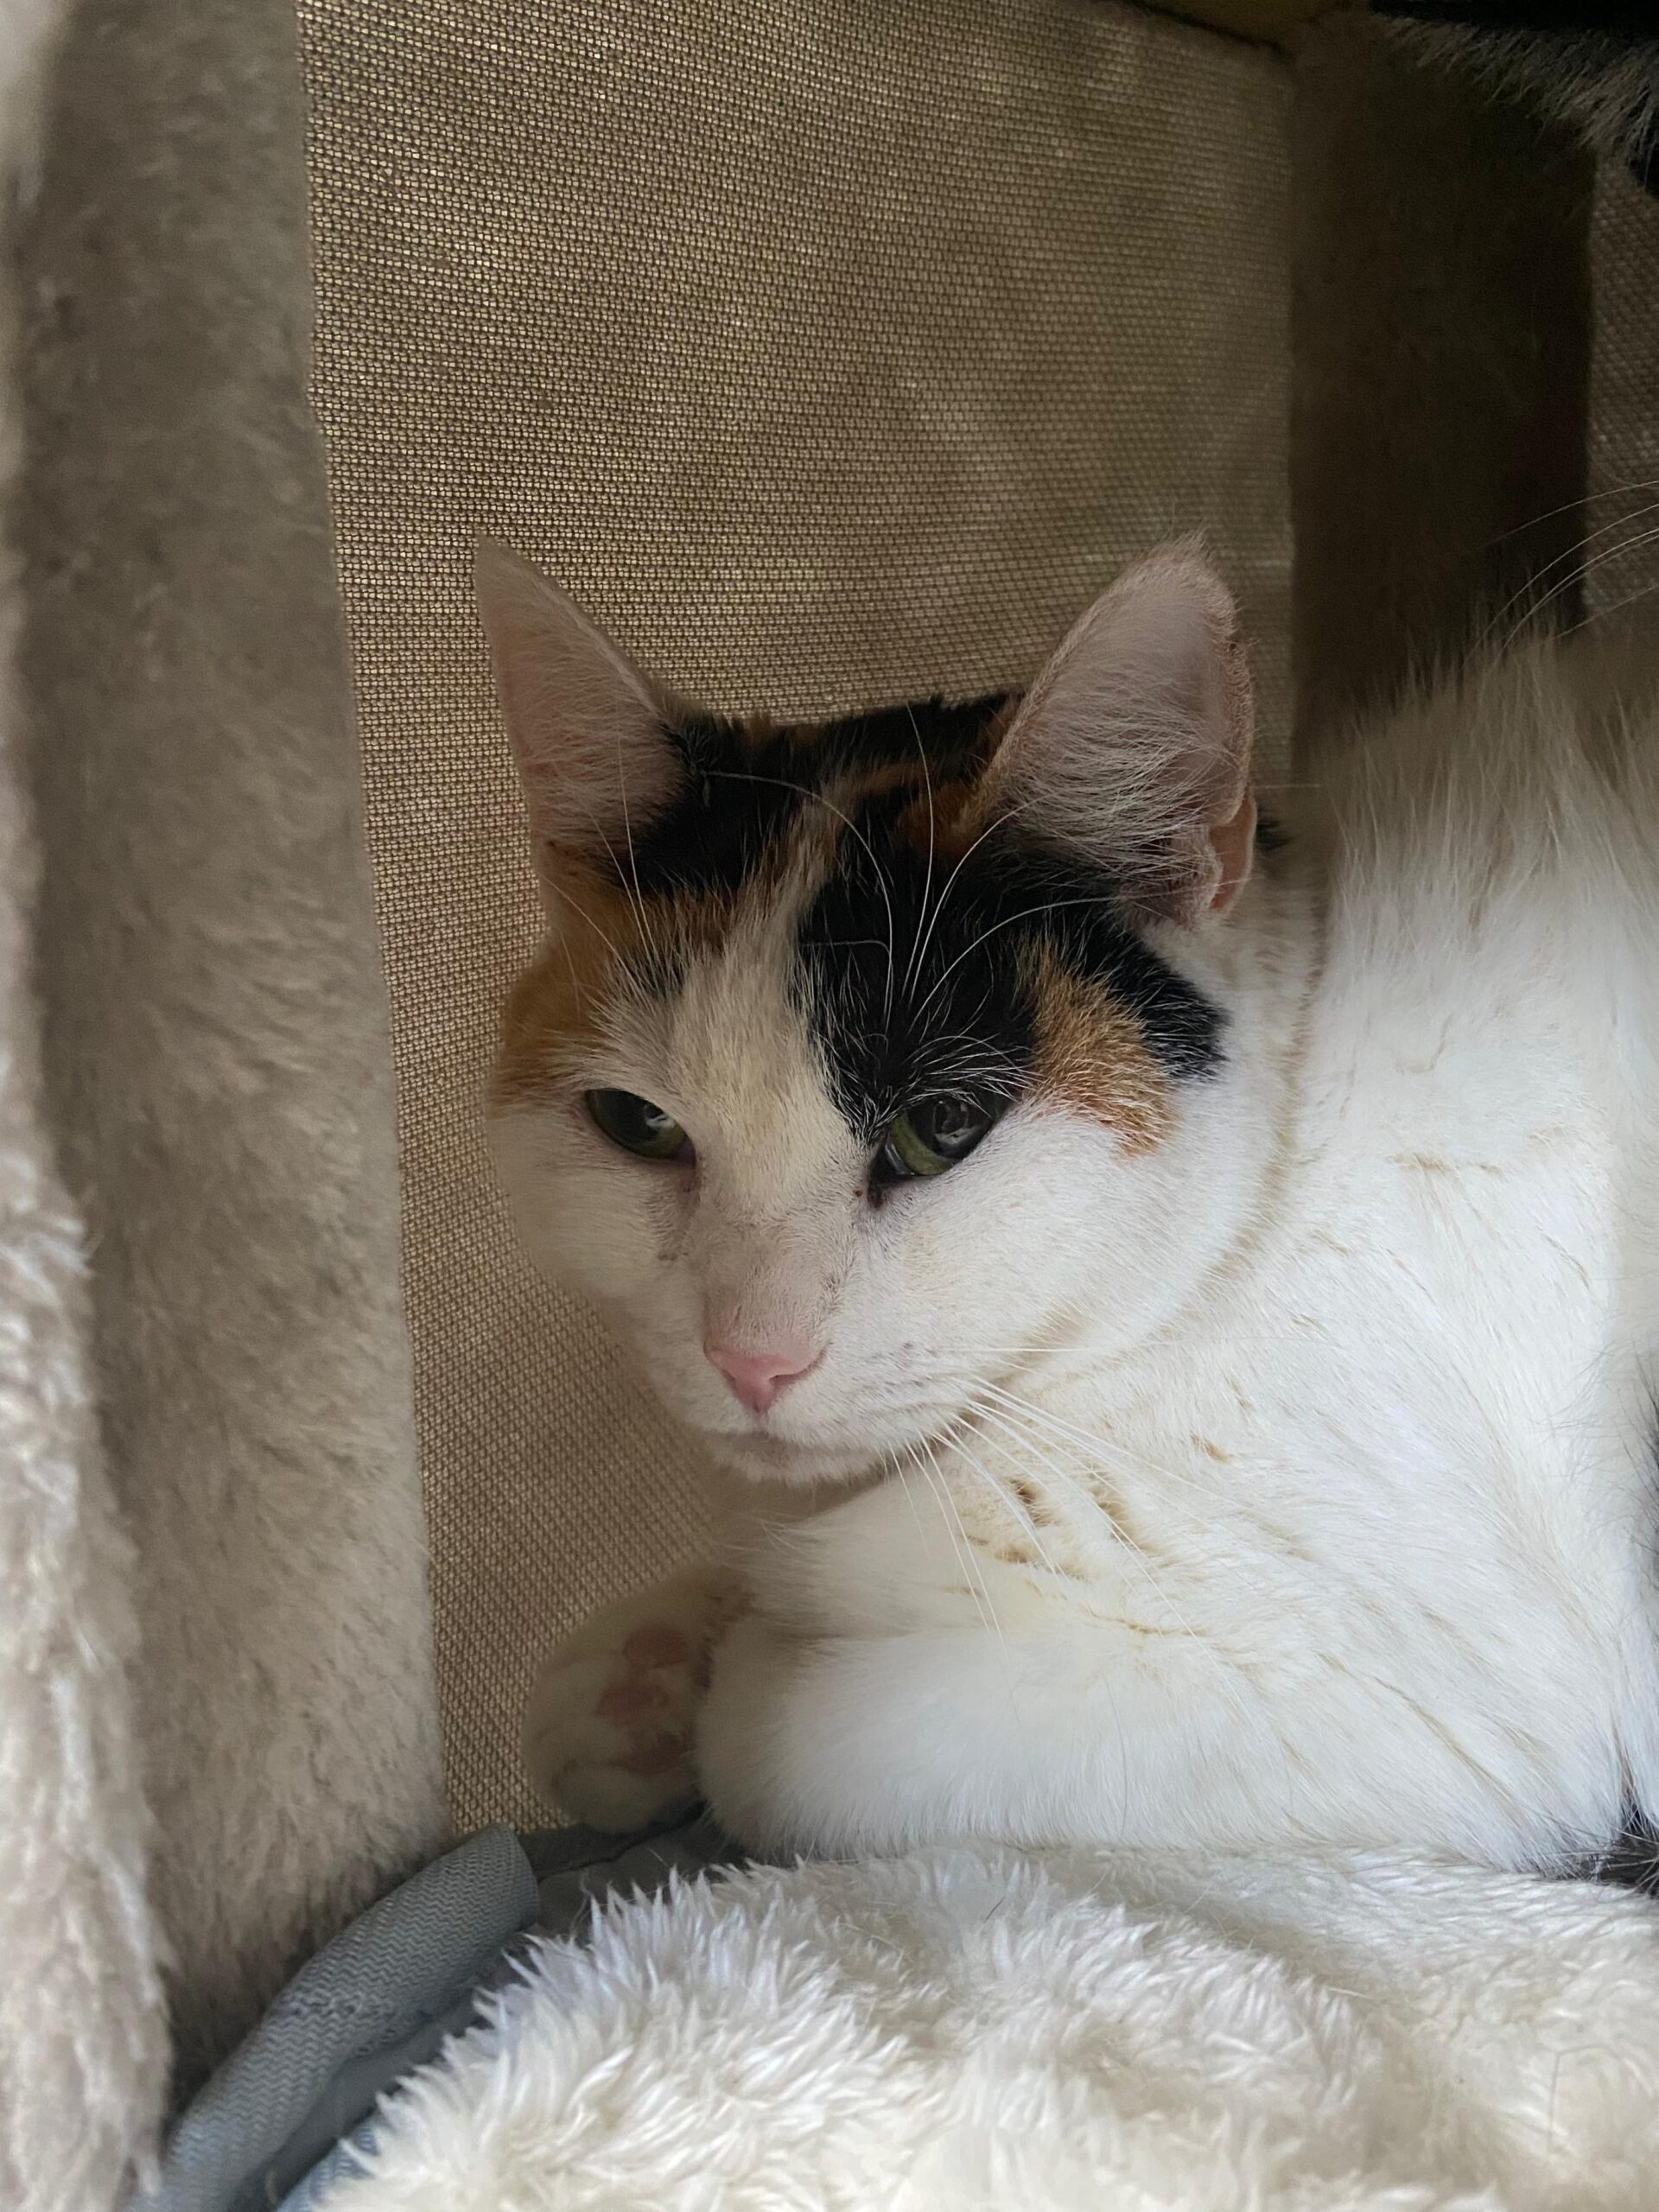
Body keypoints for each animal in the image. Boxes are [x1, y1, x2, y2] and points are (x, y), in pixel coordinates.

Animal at [478, 535, 1659, 1869]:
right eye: (639, 1128)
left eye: (937, 1130)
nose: (751, 1361)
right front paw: (639, 1674)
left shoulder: (1418, 1692)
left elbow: (793, 1736)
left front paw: (731, 1669)